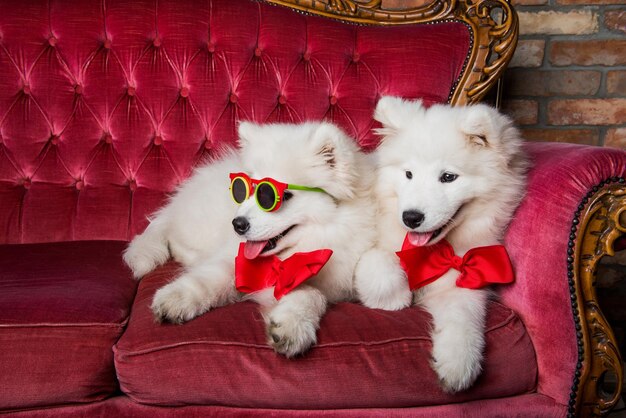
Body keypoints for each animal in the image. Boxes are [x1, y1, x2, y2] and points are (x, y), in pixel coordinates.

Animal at [123, 120, 372, 356]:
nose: (237, 224)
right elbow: (208, 278)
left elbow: (312, 294)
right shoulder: (233, 259)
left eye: (276, 196)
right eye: (245, 192)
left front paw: (291, 327)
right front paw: (176, 298)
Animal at [354, 96, 524, 394]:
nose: (410, 218)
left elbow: (463, 317)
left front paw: (458, 365)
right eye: (408, 174)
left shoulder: (462, 276)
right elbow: (378, 261)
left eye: (448, 177)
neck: (429, 251)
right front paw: (393, 300)